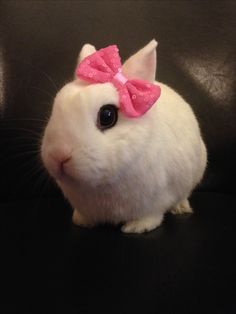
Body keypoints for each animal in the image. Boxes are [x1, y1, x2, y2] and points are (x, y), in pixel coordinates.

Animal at [40, 39, 206, 233]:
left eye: (107, 116)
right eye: (56, 105)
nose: (58, 155)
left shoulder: (155, 200)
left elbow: (151, 216)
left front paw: (136, 228)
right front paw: (82, 222)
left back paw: (181, 208)